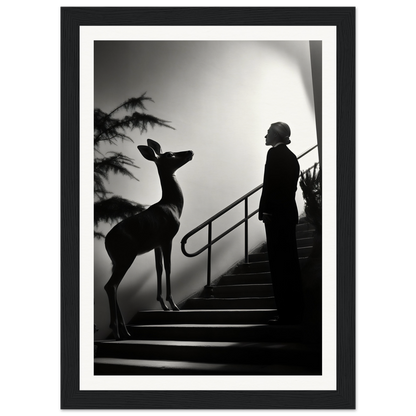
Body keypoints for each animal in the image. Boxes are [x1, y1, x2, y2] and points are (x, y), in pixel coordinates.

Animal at [104, 138, 195, 340]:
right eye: (169, 154)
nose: (190, 152)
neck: (173, 205)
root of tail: (106, 241)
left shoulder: (155, 245)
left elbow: (158, 269)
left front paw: (162, 304)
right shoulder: (167, 238)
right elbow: (168, 267)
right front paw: (173, 305)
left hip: (116, 261)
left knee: (114, 286)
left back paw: (126, 330)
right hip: (126, 255)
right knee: (110, 285)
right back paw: (117, 332)